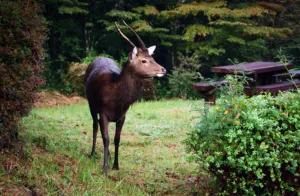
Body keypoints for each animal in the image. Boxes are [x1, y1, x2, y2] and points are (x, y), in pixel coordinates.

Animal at [84, 21, 166, 175]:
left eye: (152, 58)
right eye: (144, 60)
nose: (163, 69)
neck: (118, 100)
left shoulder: (122, 116)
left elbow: (116, 139)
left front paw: (116, 165)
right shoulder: (103, 112)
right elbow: (106, 139)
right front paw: (105, 169)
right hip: (91, 104)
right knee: (95, 126)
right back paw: (92, 153)